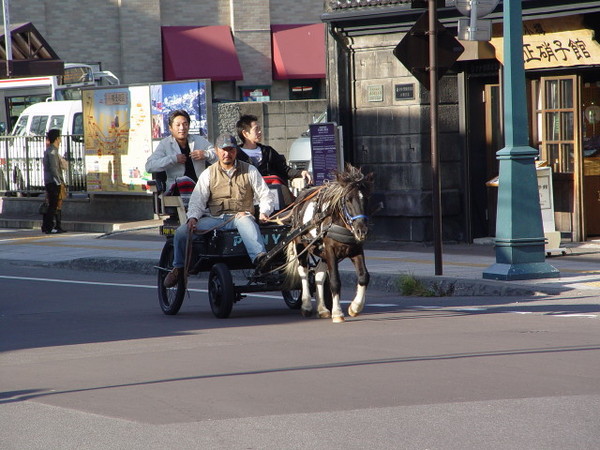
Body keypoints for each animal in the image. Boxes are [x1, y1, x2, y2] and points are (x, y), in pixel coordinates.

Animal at [284, 165, 372, 324]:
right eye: (348, 200)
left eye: (366, 198)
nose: (361, 230)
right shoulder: (330, 250)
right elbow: (335, 281)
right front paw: (337, 313)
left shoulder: (356, 249)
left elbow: (364, 277)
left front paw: (355, 307)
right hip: (301, 245)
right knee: (303, 272)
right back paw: (306, 305)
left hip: (321, 251)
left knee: (318, 275)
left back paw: (323, 309)